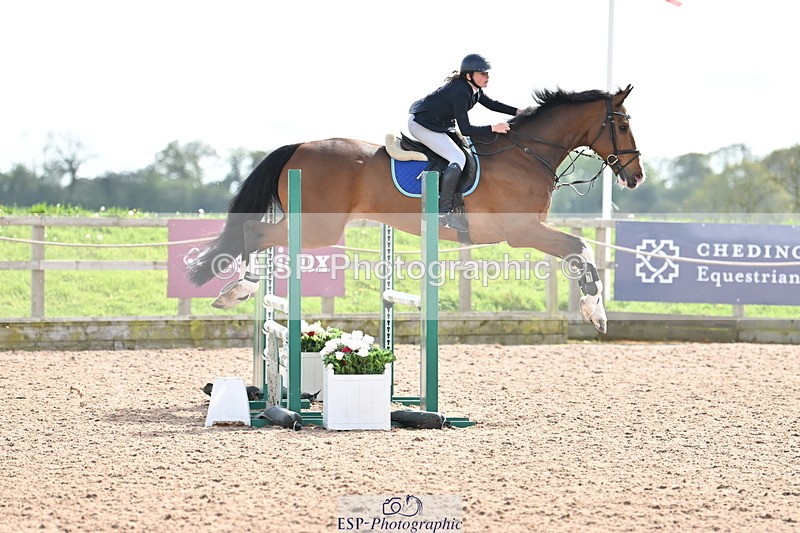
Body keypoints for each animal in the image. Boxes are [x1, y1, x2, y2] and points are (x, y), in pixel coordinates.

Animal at [187, 85, 644, 333]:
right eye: (622, 125)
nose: (636, 177)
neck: (527, 153)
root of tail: (297, 146)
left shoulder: (529, 231)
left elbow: (579, 250)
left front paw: (596, 312)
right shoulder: (522, 233)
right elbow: (581, 248)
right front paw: (595, 312)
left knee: (257, 235)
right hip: (319, 228)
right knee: (255, 233)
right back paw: (239, 290)